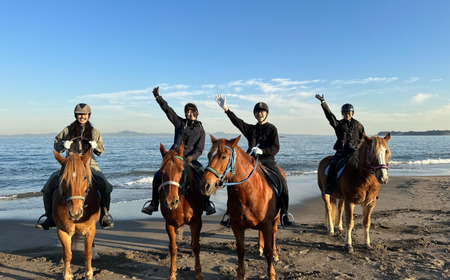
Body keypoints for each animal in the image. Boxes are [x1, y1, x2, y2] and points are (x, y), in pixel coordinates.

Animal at [52, 150, 100, 280]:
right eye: (63, 179)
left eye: (84, 177)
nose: (75, 212)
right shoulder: (62, 231)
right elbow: (67, 255)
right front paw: (67, 275)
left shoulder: (89, 230)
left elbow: (87, 253)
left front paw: (89, 274)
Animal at [156, 143, 202, 278]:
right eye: (162, 171)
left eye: (181, 170)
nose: (171, 201)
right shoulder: (170, 224)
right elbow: (173, 248)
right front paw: (172, 274)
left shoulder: (197, 222)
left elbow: (196, 246)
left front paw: (199, 273)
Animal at [201, 136, 280, 280]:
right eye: (209, 155)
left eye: (223, 156)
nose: (205, 185)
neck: (247, 192)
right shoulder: (237, 226)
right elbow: (240, 251)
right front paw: (240, 275)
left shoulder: (266, 225)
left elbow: (268, 251)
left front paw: (271, 274)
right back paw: (259, 248)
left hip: (275, 220)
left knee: (274, 234)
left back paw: (276, 254)